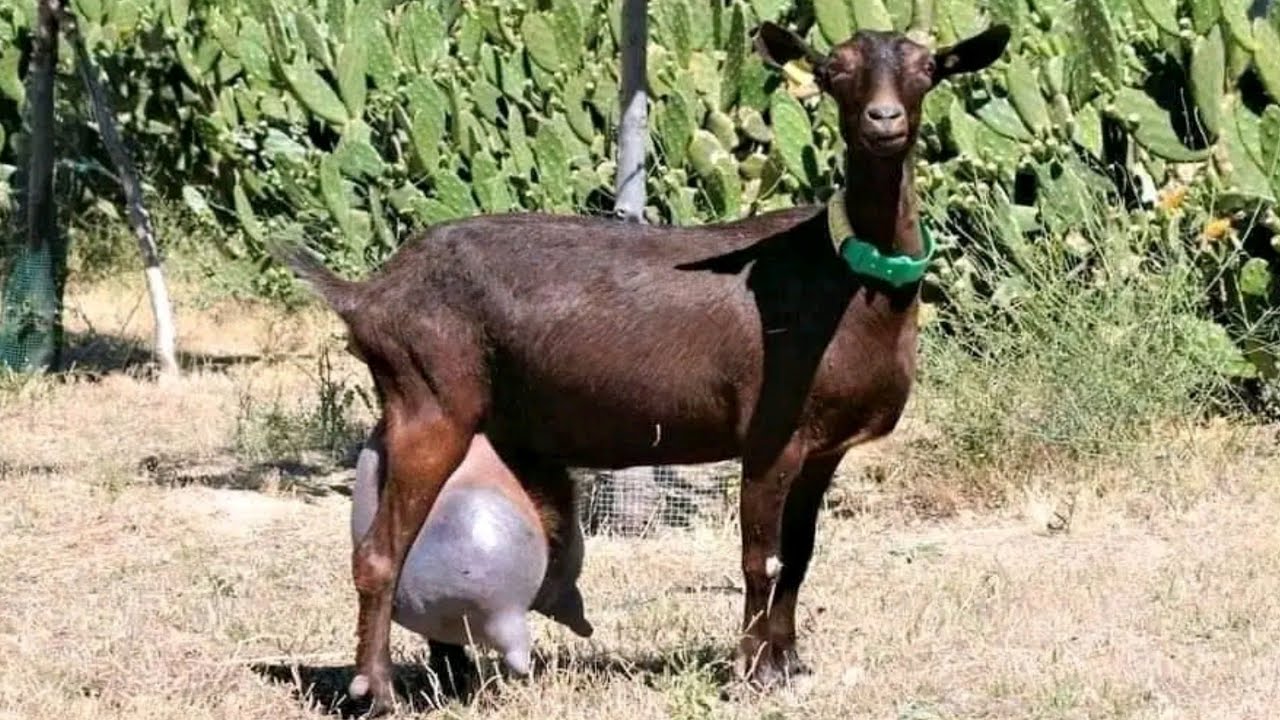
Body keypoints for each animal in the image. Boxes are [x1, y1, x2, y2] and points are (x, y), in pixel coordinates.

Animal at [274, 21, 1010, 712]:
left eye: (929, 69)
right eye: (834, 71)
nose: (883, 121)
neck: (847, 279)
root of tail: (366, 294)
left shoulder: (824, 446)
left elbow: (800, 557)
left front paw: (789, 665)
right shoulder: (771, 434)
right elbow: (762, 560)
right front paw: (751, 674)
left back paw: (450, 676)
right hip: (430, 396)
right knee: (380, 552)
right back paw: (377, 692)